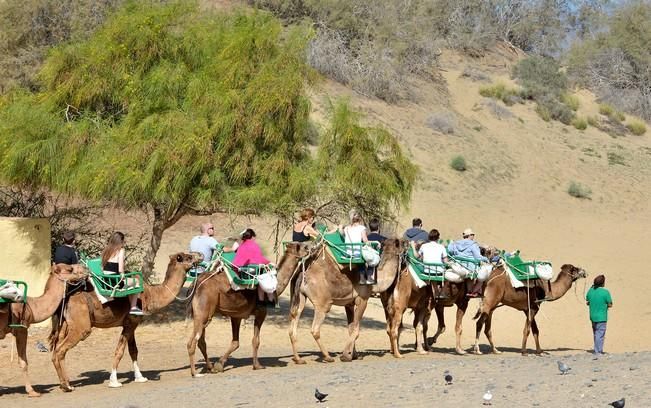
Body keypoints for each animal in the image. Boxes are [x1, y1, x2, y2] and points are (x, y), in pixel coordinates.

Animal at [0, 262, 88, 396]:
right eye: (69, 269)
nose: (86, 269)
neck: (31, 307)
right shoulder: (22, 329)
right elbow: (23, 361)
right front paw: (32, 391)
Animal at [49, 252, 199, 392]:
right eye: (188, 257)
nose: (200, 255)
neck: (150, 295)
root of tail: (66, 297)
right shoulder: (130, 322)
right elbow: (120, 351)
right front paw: (114, 381)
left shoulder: (131, 323)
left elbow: (133, 350)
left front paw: (140, 377)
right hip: (81, 326)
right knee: (61, 350)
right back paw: (67, 386)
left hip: (64, 324)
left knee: (56, 349)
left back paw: (64, 384)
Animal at [186, 241, 316, 378]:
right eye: (304, 247)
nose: (312, 247)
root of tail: (197, 282)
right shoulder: (261, 312)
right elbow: (256, 340)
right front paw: (257, 365)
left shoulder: (236, 315)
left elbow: (235, 342)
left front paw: (219, 365)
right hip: (204, 312)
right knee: (192, 342)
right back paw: (195, 373)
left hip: (202, 314)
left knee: (201, 341)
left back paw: (210, 367)